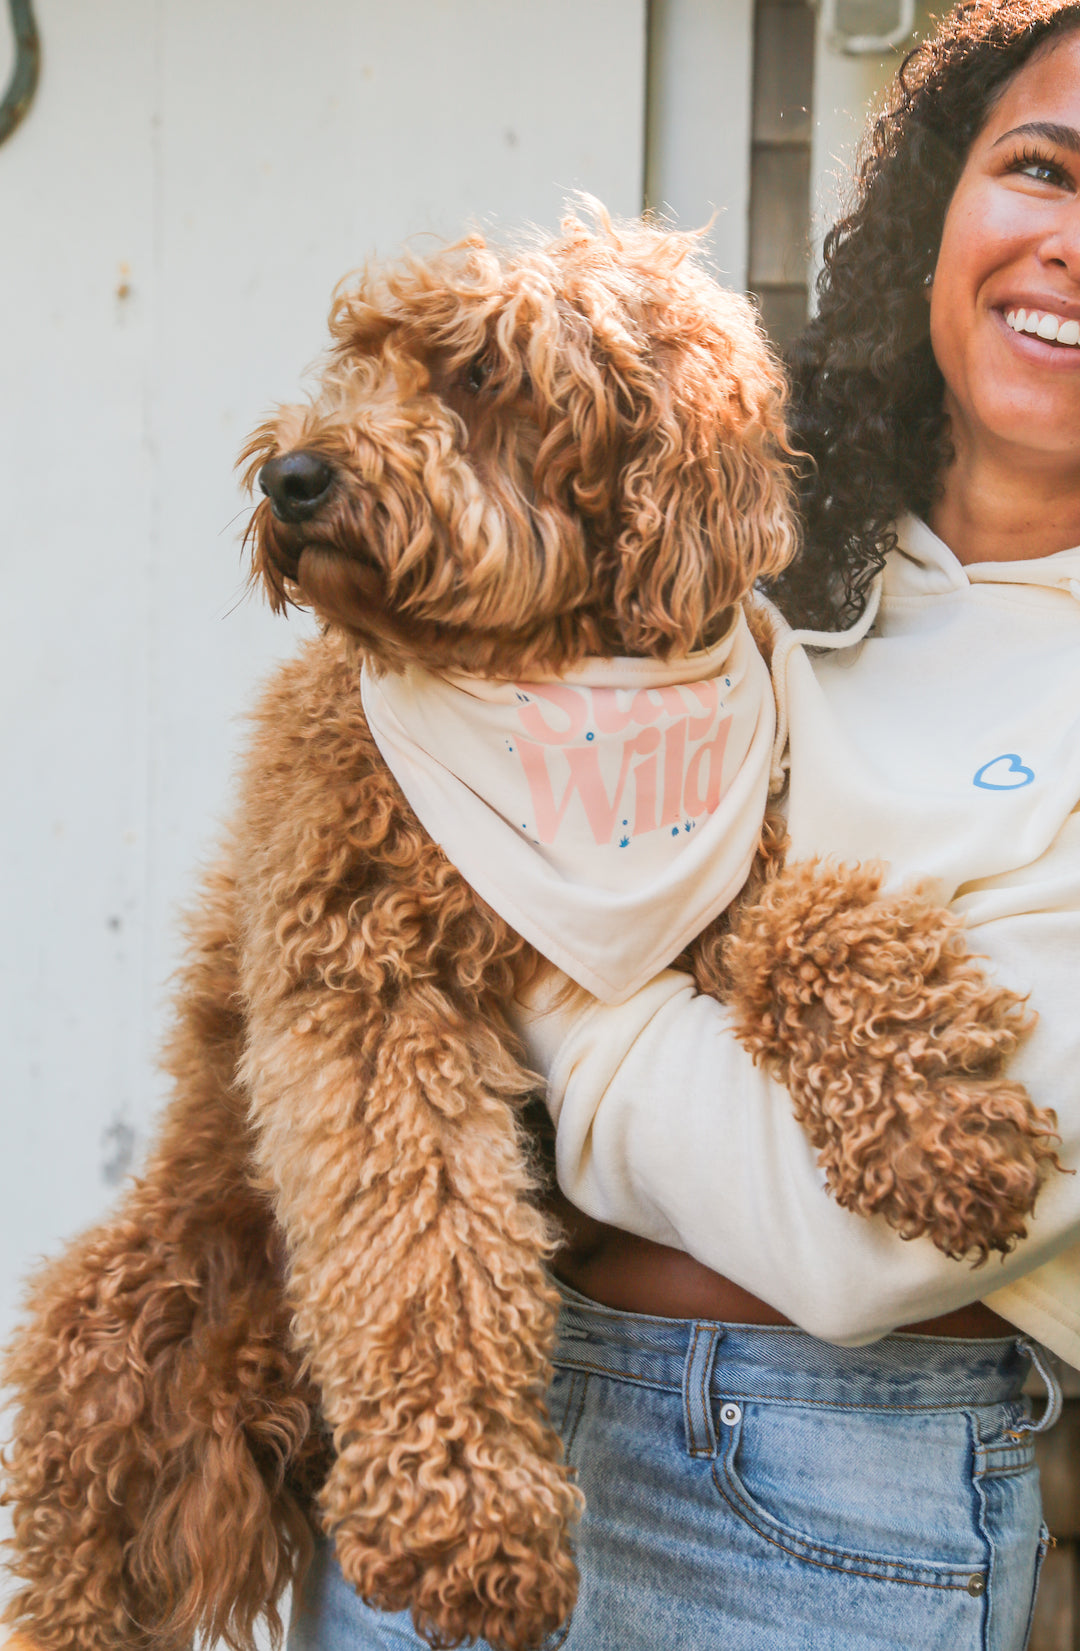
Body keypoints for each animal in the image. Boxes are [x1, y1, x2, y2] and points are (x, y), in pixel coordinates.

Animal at [2, 206, 1063, 1651]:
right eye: (358, 356)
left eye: (479, 375)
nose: (292, 475)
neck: (543, 673)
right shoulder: (365, 990)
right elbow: (424, 1248)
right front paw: (467, 1512)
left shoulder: (726, 877)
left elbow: (822, 923)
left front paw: (939, 1117)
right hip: (131, 1349)